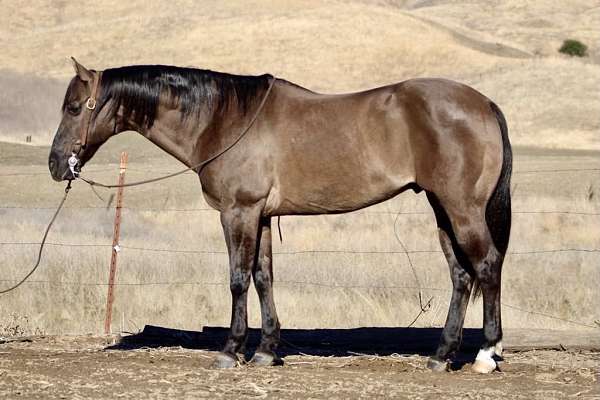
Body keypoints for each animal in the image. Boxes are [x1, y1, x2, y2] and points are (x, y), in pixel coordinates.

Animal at [49, 58, 512, 372]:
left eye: (74, 107)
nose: (56, 164)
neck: (224, 119)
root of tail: (485, 103)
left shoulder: (237, 212)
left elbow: (238, 279)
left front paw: (231, 351)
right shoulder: (262, 216)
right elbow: (263, 277)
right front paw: (267, 350)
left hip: (462, 208)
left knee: (487, 265)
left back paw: (487, 353)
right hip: (441, 209)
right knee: (462, 275)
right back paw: (441, 356)